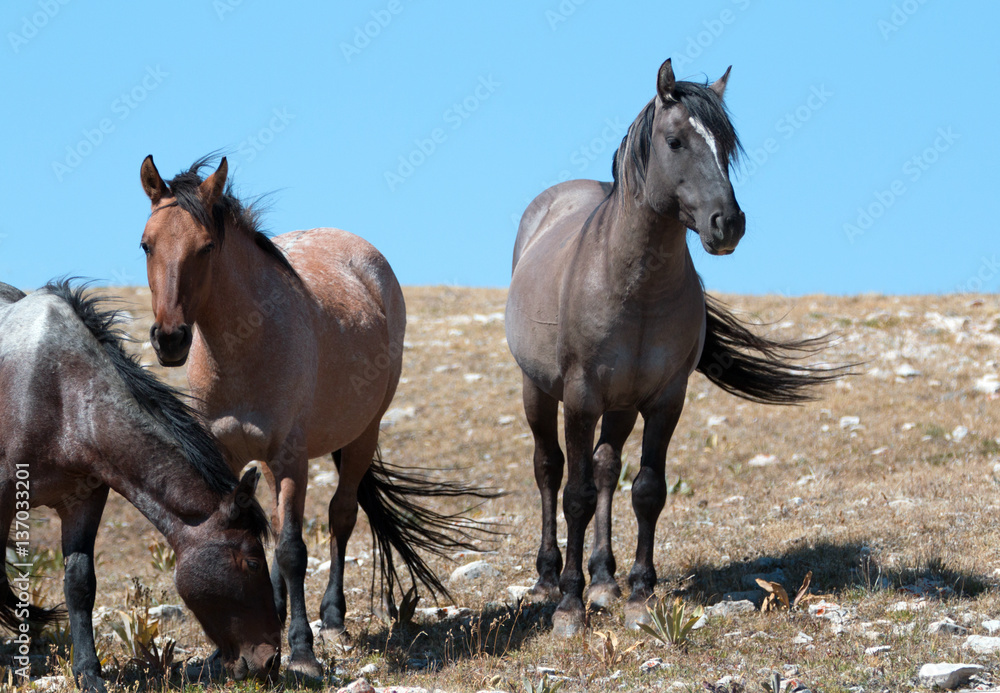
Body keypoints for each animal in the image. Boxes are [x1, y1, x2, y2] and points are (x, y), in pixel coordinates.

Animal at [0, 281, 281, 691]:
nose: (271, 661)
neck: (59, 392)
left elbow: (80, 584)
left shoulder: (83, 500)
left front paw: (89, 673)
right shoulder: (4, 497)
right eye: (254, 562)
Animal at [137, 154, 494, 675]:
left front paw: (302, 652)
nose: (169, 339)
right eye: (146, 244)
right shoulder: (226, 455)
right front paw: (225, 651)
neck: (243, 346)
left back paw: (332, 616)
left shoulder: (291, 458)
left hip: (362, 435)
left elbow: (291, 549)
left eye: (206, 247)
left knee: (340, 517)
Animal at [505, 59, 843, 635]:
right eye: (675, 141)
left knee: (606, 469)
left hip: (620, 406)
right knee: (550, 469)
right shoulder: (580, 398)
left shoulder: (666, 398)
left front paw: (639, 596)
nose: (728, 223)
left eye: (726, 145)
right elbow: (574, 495)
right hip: (540, 391)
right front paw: (569, 608)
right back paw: (550, 580)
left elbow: (646, 490)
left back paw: (604, 580)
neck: (632, 286)